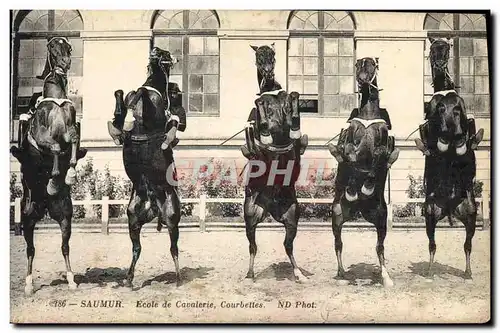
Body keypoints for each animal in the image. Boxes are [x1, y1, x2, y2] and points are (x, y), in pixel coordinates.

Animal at [9, 37, 86, 294]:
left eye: (69, 47)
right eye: (53, 47)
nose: (66, 62)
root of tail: (44, 209)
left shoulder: (71, 130)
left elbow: (72, 143)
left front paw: (69, 172)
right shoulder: (42, 136)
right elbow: (52, 147)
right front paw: (54, 179)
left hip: (65, 217)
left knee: (65, 247)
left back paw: (71, 280)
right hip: (28, 219)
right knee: (30, 250)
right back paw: (28, 285)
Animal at [108, 46, 187, 288]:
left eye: (164, 53)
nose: (154, 50)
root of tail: (154, 204)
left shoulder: (154, 111)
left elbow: (144, 96)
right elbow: (123, 97)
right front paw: (121, 120)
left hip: (172, 218)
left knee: (173, 249)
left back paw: (178, 278)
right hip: (134, 218)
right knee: (137, 248)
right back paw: (128, 279)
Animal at [241, 44, 308, 282]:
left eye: (273, 55)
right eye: (258, 57)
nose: (269, 74)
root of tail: (270, 208)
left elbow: (293, 101)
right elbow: (260, 111)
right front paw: (264, 130)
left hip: (291, 217)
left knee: (288, 246)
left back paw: (299, 274)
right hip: (251, 218)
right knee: (253, 247)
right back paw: (250, 275)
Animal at [326, 56, 400, 286]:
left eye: (372, 65)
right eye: (358, 64)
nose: (361, 79)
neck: (368, 116)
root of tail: (358, 210)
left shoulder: (381, 148)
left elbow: (377, 162)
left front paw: (367, 186)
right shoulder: (351, 144)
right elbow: (349, 158)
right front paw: (352, 188)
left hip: (381, 220)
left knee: (380, 247)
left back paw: (386, 277)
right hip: (337, 217)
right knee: (338, 244)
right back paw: (341, 274)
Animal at [414, 37, 484, 278]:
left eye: (446, 48)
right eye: (433, 49)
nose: (438, 65)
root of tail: (451, 208)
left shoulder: (462, 117)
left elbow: (463, 130)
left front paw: (462, 142)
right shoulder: (432, 122)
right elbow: (433, 130)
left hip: (471, 216)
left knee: (468, 245)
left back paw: (468, 272)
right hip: (430, 214)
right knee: (432, 245)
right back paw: (429, 270)